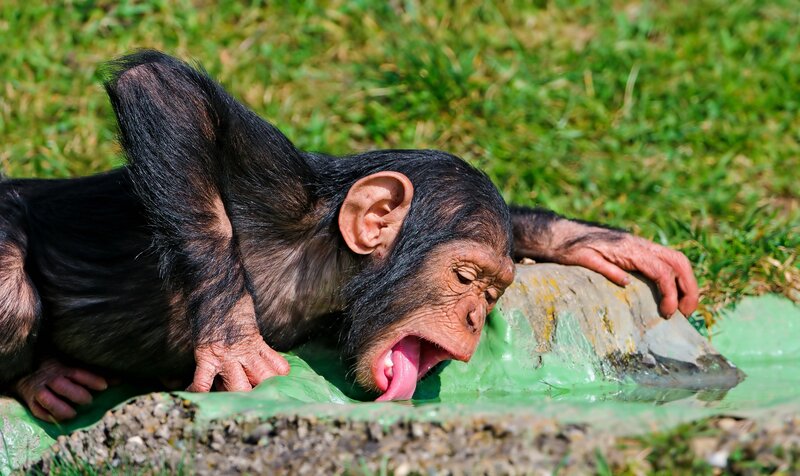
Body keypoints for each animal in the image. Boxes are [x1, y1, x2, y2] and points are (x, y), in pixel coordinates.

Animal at [0, 51, 698, 421]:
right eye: (466, 277)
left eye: (494, 294)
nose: (475, 317)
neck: (325, 264)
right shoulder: (275, 188)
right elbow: (161, 91)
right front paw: (233, 339)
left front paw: (594, 240)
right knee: (12, 289)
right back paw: (40, 379)